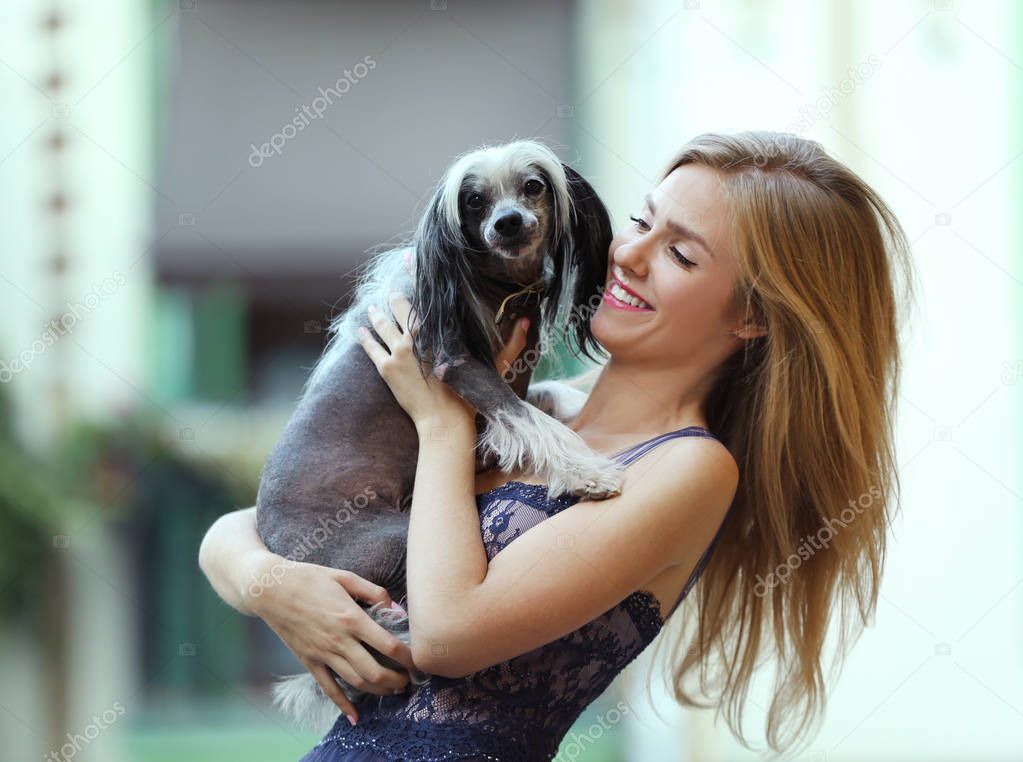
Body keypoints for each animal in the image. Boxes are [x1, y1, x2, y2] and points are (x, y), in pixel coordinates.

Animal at [255, 140, 621, 728]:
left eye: (533, 186)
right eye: (474, 200)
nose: (508, 222)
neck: (498, 285)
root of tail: (280, 558)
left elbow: (543, 403)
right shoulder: (457, 364)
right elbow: (525, 416)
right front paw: (585, 471)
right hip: (394, 543)